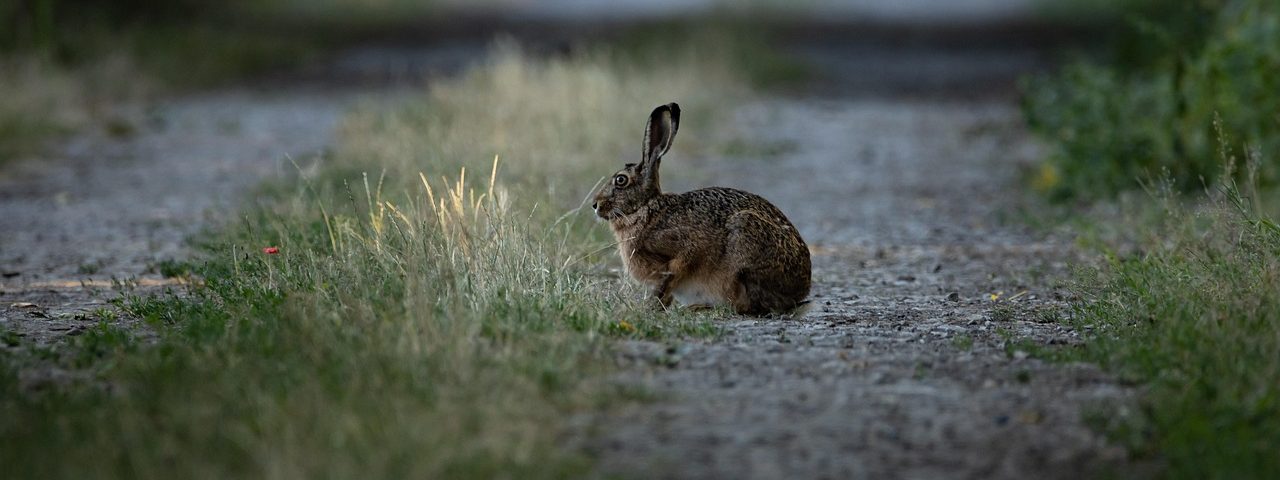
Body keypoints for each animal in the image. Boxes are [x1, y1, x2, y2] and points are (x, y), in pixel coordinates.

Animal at [592, 102, 811, 315]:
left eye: (621, 180)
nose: (595, 204)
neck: (645, 207)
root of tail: (800, 290)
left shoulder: (681, 250)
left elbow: (670, 279)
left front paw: (651, 309)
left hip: (744, 244)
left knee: (748, 305)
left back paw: (701, 307)